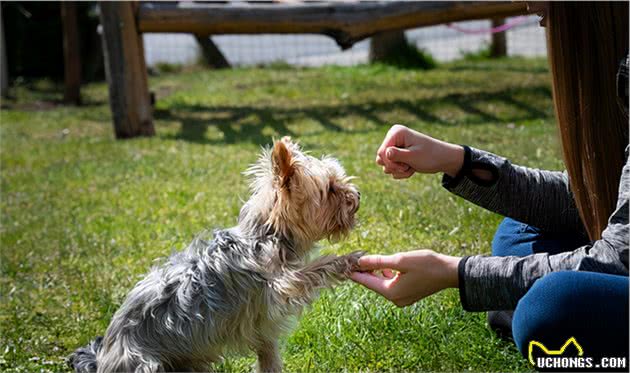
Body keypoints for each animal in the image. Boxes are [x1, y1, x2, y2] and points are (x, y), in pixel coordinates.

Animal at [68, 137, 366, 372]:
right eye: (330, 188)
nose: (358, 195)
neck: (267, 234)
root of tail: (103, 357)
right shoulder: (280, 285)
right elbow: (315, 268)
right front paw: (348, 260)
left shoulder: (262, 324)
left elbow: (268, 354)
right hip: (146, 364)